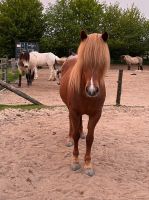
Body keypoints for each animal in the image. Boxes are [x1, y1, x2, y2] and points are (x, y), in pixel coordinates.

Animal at [60, 30, 110, 176]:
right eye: (84, 63)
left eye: (102, 63)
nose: (92, 91)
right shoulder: (74, 111)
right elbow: (75, 134)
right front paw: (75, 161)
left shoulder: (96, 115)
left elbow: (90, 138)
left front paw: (88, 164)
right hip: (70, 110)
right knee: (71, 123)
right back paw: (69, 139)